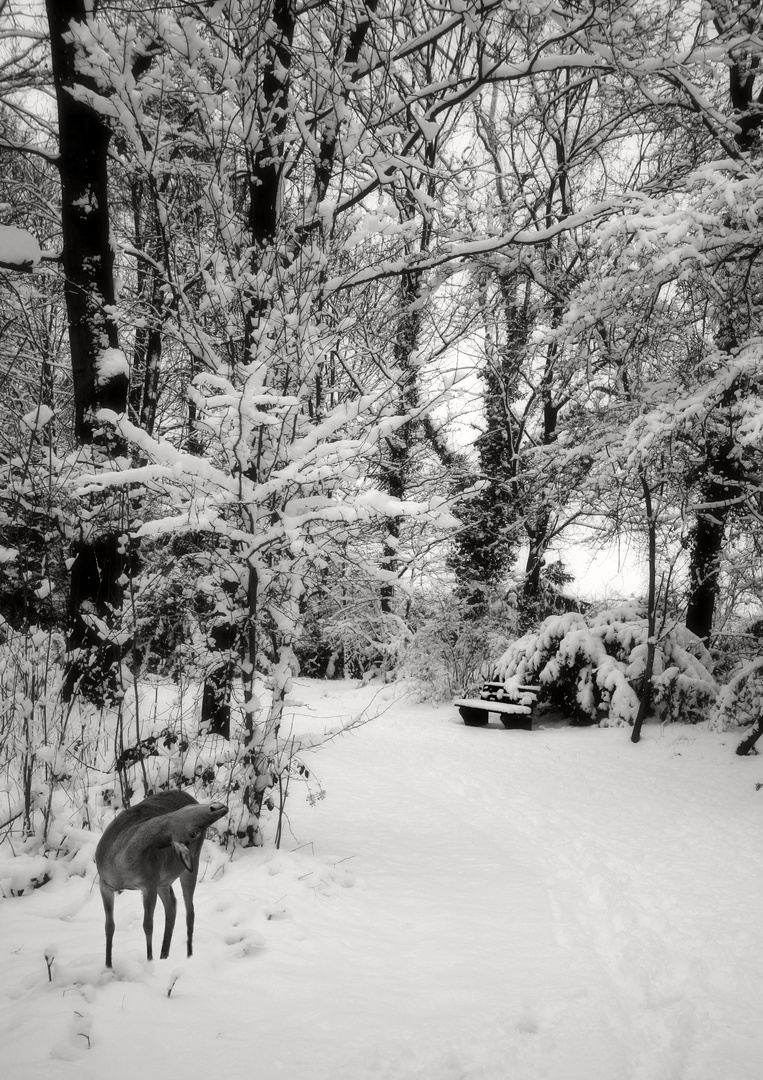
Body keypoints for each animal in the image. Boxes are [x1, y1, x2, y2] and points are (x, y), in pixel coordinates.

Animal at [94, 786, 225, 972]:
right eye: (193, 832)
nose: (220, 808)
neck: (119, 862)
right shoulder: (104, 882)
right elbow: (109, 926)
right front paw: (108, 965)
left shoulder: (148, 882)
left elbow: (148, 925)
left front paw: (149, 960)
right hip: (163, 880)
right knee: (172, 904)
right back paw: (164, 954)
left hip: (189, 865)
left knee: (189, 909)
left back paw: (188, 955)